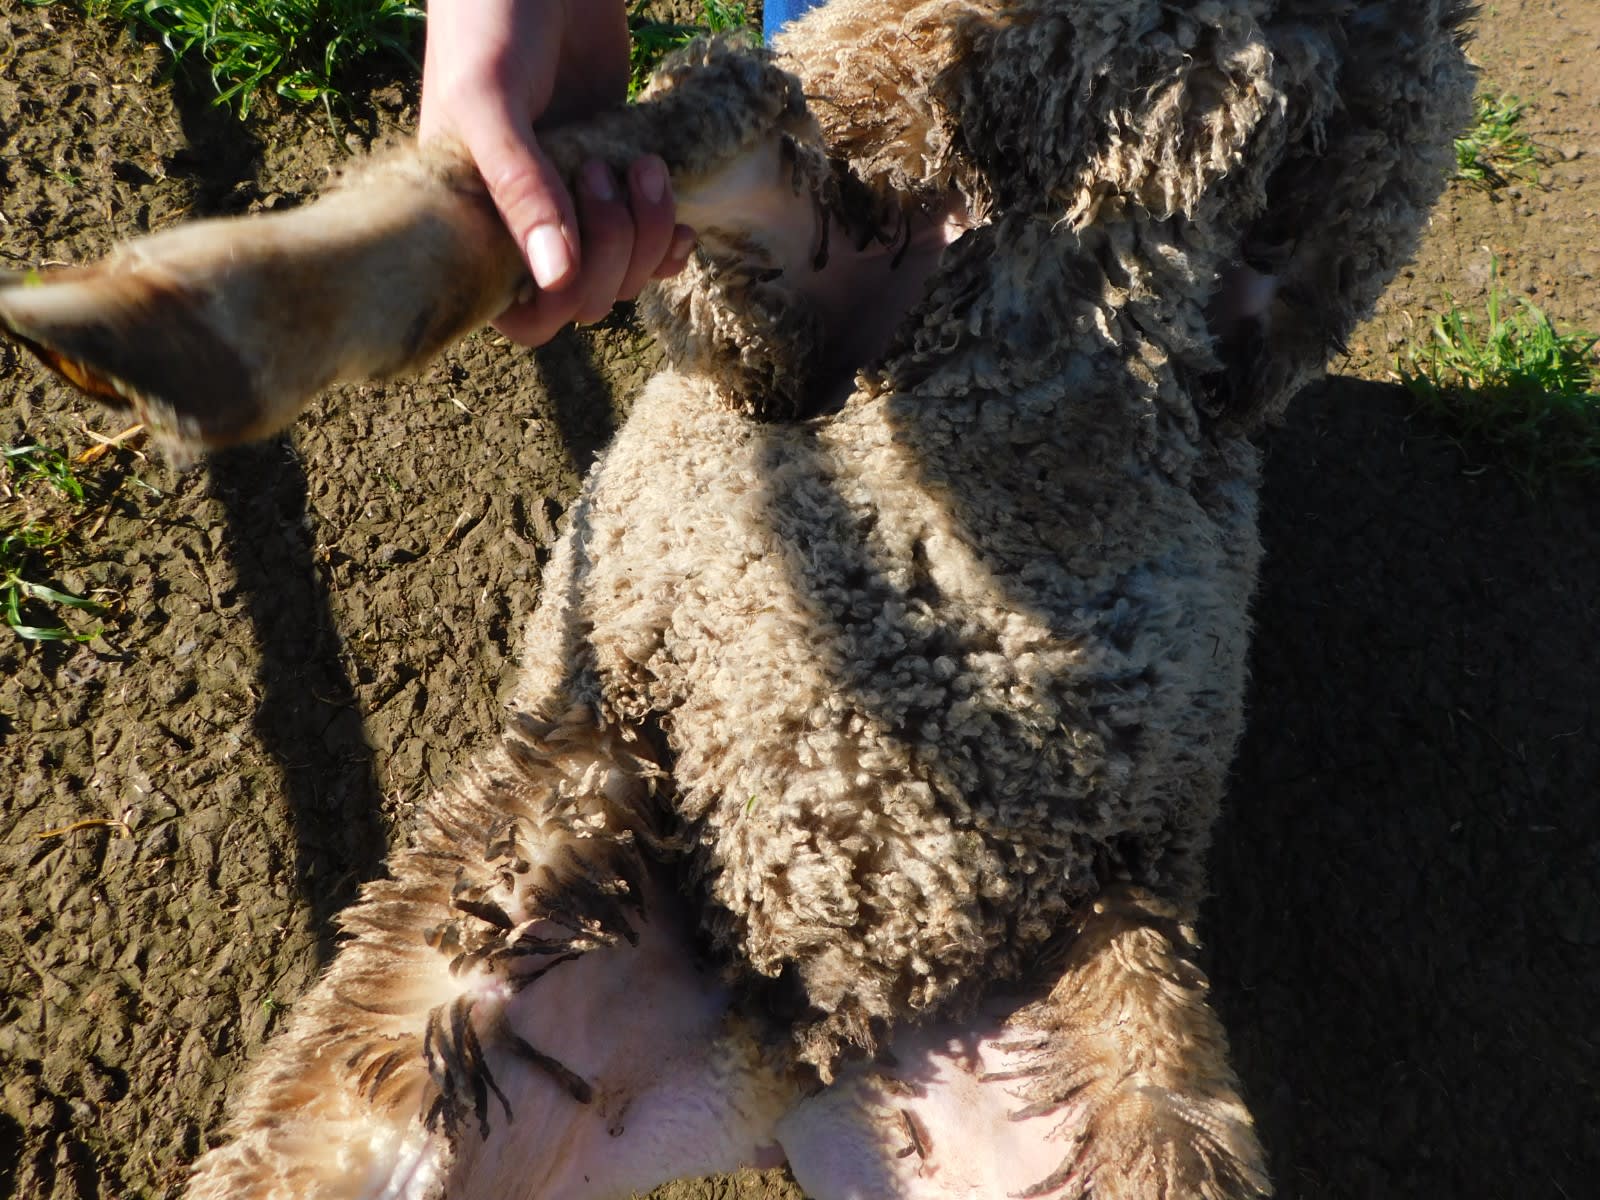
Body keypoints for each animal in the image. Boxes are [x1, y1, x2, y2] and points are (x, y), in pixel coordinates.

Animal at [0, 1, 1474, 1196]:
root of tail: (787, 1026)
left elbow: (1348, 209)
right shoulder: (807, 293)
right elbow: (591, 172)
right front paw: (169, 329)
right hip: (468, 948)